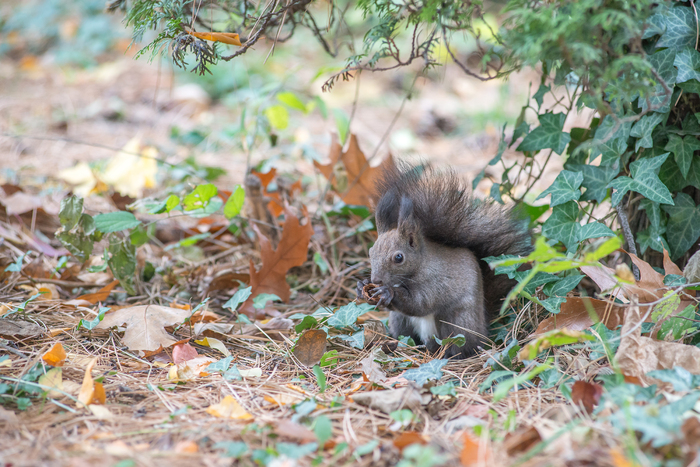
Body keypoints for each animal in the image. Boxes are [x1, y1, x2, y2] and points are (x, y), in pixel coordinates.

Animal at [356, 165, 532, 358]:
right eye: (371, 252)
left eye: (399, 257)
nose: (376, 280)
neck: (420, 264)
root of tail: (483, 330)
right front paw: (362, 287)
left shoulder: (436, 282)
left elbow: (420, 303)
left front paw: (388, 292)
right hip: (401, 321)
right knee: (406, 334)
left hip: (457, 323)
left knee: (459, 346)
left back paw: (448, 354)